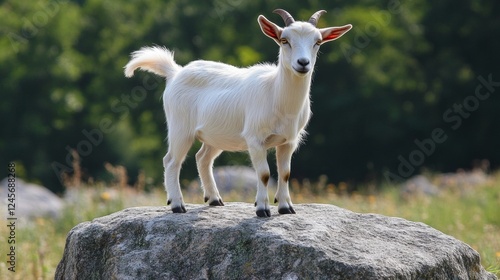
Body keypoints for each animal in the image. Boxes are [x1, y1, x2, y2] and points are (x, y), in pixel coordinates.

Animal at [124, 8, 352, 217]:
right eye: (284, 40)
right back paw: (177, 205)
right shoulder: (255, 138)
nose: (303, 63)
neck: (276, 93)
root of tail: (175, 72)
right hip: (180, 127)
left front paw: (286, 208)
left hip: (215, 135)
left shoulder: (289, 141)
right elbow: (264, 174)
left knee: (202, 158)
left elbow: (285, 173)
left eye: (318, 42)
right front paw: (262, 209)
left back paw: (214, 199)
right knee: (171, 161)